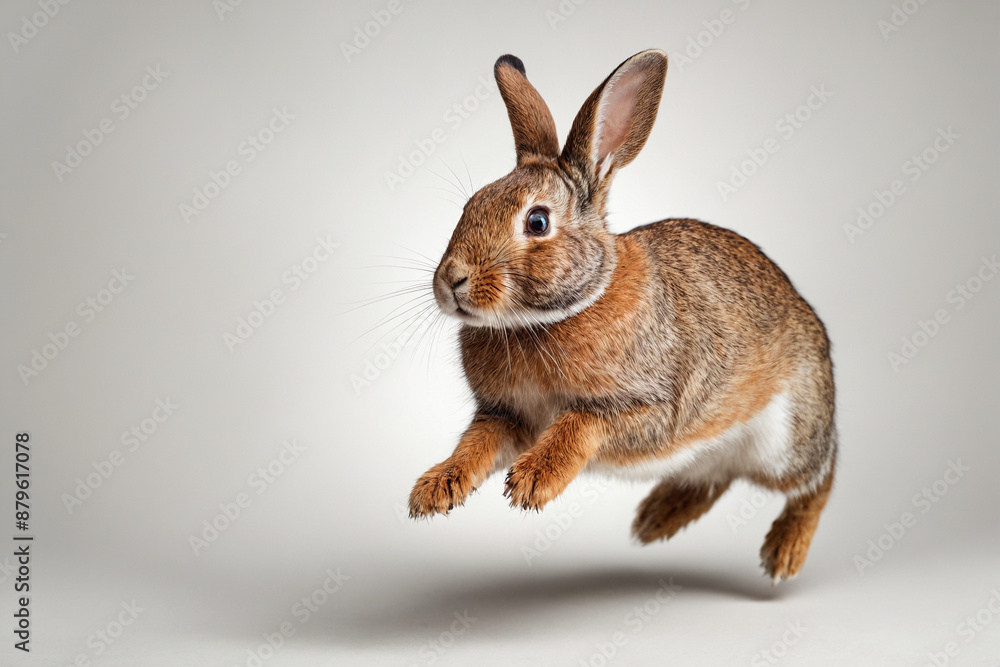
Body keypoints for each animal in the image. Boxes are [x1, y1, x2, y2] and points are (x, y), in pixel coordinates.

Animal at [407, 49, 836, 583]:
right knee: (716, 478)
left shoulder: (654, 405)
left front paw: (533, 480)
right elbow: (474, 445)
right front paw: (434, 489)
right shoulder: (505, 415)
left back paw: (783, 553)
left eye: (537, 221)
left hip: (786, 438)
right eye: (471, 204)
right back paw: (655, 521)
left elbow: (581, 423)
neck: (546, 316)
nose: (452, 280)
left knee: (819, 479)